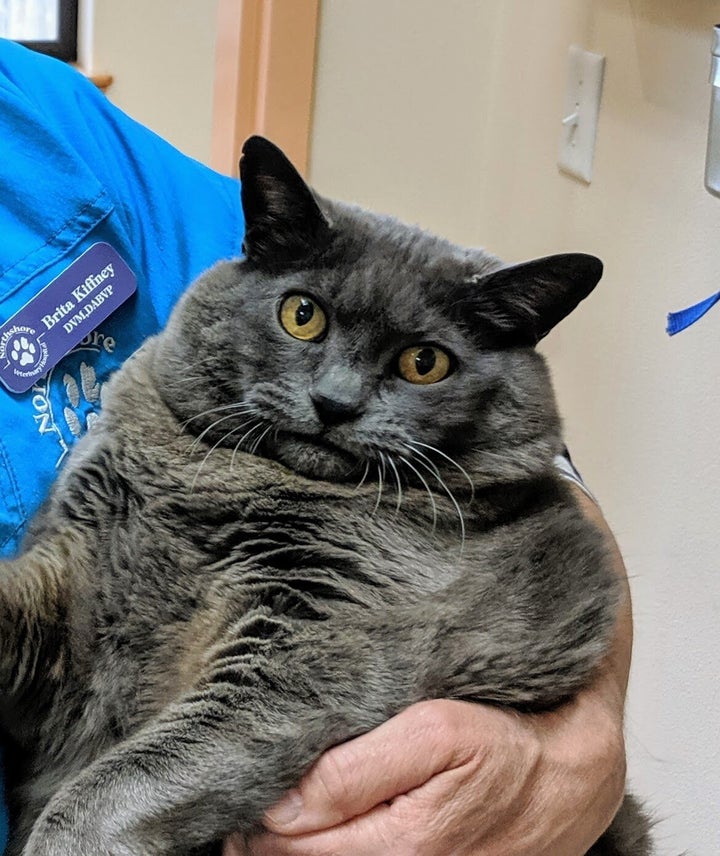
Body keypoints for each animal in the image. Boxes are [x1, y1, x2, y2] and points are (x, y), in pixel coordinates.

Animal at [0, 137, 648, 852]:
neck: (217, 482)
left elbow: (123, 783)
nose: (336, 402)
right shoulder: (71, 568)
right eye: (302, 315)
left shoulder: (316, 647)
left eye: (425, 362)